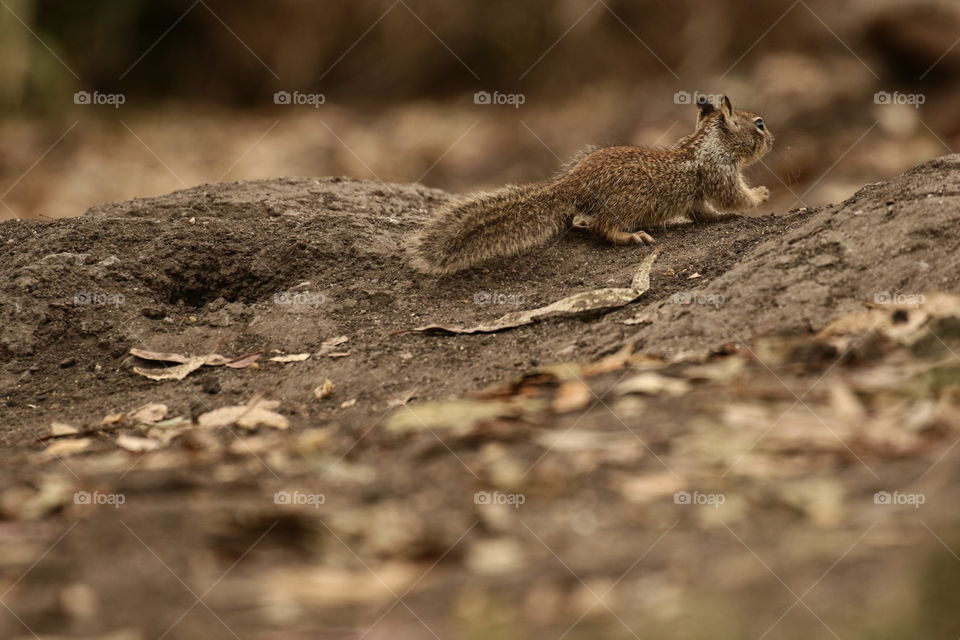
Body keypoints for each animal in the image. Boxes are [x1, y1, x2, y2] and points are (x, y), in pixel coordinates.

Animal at [410, 94, 772, 274]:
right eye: (760, 124)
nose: (772, 140)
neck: (707, 141)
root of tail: (569, 185)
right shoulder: (719, 173)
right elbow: (733, 197)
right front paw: (760, 194)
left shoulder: (698, 195)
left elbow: (705, 213)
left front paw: (725, 214)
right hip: (627, 204)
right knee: (603, 228)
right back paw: (631, 236)